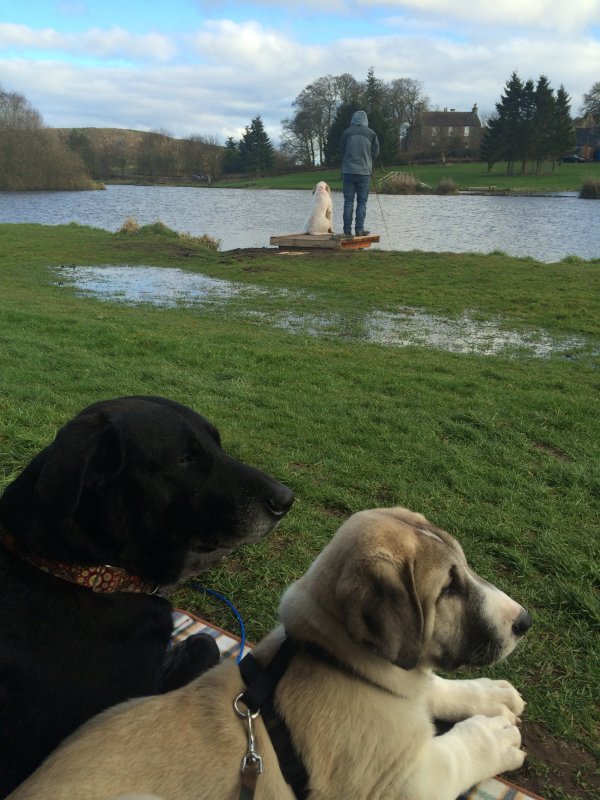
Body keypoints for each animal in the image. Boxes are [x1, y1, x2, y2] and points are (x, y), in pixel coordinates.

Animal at [9, 506, 531, 800]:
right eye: (448, 588)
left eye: (465, 569)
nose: (523, 621)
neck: (335, 656)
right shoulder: (403, 784)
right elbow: (459, 754)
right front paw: (496, 736)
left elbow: (434, 687)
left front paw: (493, 696)